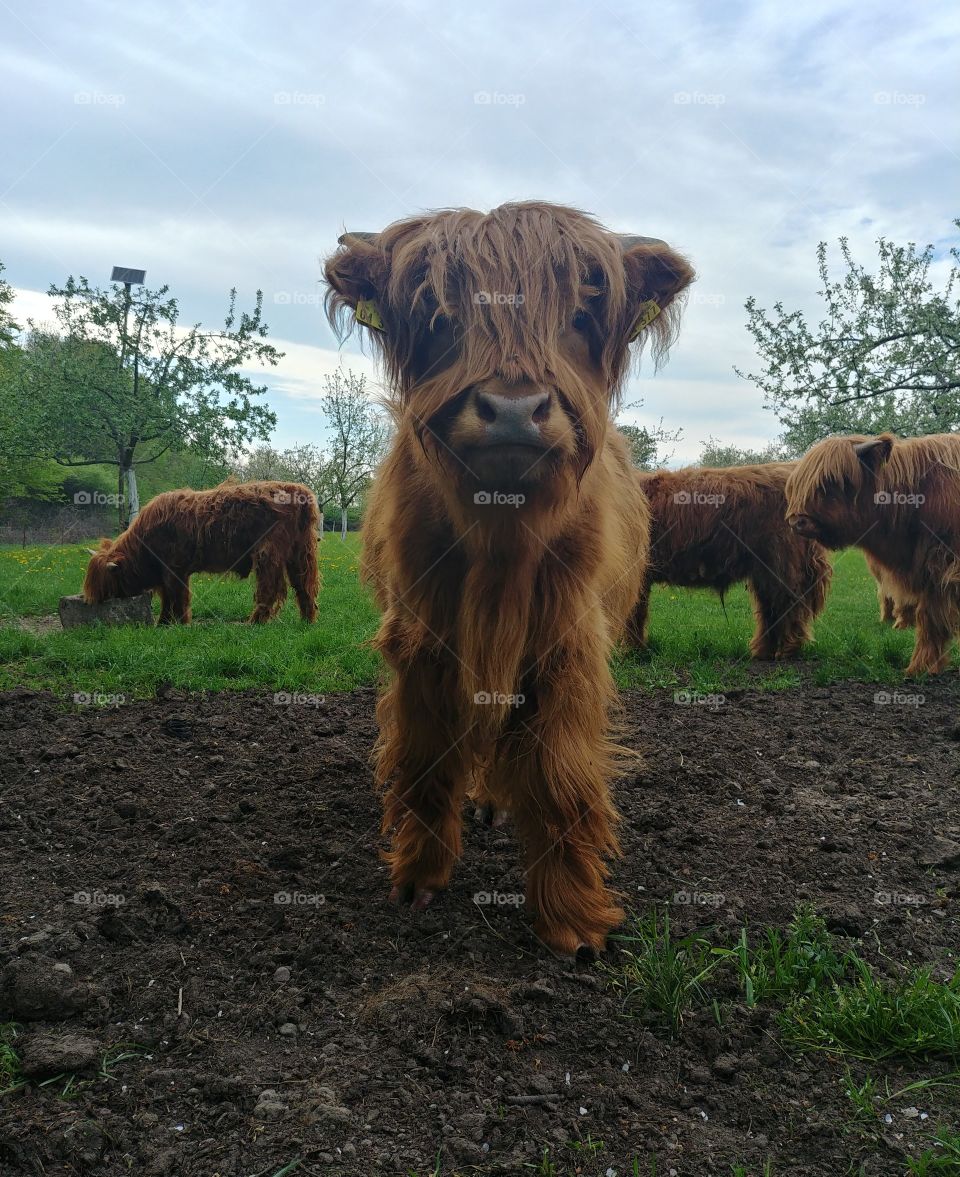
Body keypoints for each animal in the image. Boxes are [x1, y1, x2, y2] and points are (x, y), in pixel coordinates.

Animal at [83, 481, 320, 624]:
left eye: (102, 582)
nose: (91, 601)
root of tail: (299, 491)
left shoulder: (174, 569)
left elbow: (177, 596)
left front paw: (179, 623)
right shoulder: (166, 572)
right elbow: (167, 597)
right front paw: (163, 623)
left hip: (268, 553)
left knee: (269, 589)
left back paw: (254, 623)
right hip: (299, 553)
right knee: (304, 586)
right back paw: (306, 621)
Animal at [325, 201, 694, 955]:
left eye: (579, 313)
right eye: (439, 313)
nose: (515, 408)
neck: (500, 539)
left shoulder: (565, 642)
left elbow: (558, 773)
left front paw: (571, 920)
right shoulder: (422, 635)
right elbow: (426, 756)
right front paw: (419, 876)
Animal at [628, 462, 832, 659]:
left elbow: (633, 611)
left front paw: (631, 651)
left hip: (781, 563)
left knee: (787, 604)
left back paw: (785, 651)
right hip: (765, 570)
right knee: (769, 607)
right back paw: (763, 651)